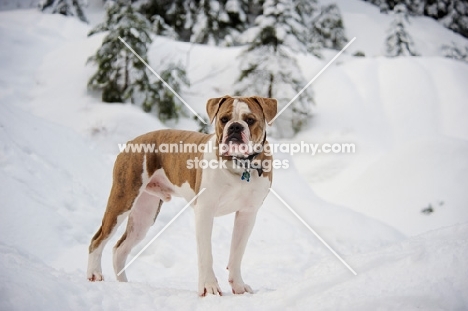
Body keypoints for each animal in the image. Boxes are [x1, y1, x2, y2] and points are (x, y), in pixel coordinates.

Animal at [87, 95, 276, 298]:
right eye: (224, 119)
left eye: (250, 120)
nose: (235, 127)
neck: (240, 165)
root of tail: (132, 141)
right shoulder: (204, 212)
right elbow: (206, 254)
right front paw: (209, 288)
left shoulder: (247, 214)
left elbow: (237, 253)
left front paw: (239, 287)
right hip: (122, 200)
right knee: (98, 239)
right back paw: (94, 274)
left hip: (144, 216)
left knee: (120, 249)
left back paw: (124, 284)